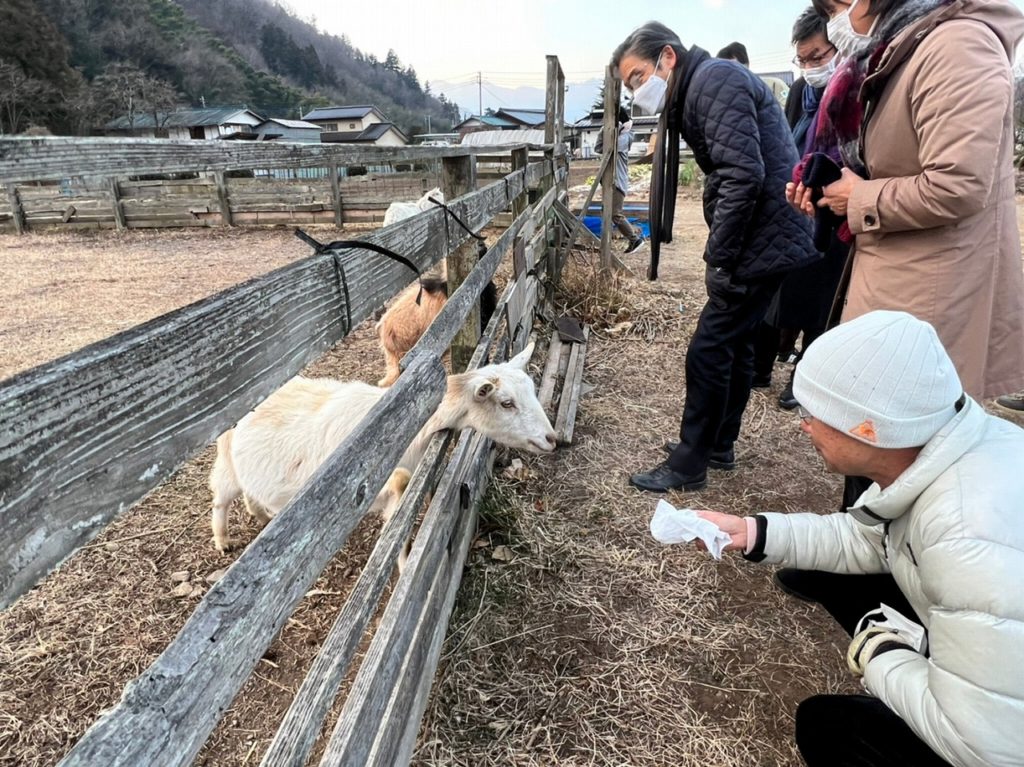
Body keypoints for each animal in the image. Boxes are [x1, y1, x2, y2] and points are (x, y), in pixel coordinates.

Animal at [208, 342, 557, 548]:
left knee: (250, 492)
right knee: (221, 499)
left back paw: (262, 516)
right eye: (506, 403)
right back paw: (223, 539)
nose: (551, 439)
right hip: (226, 463)